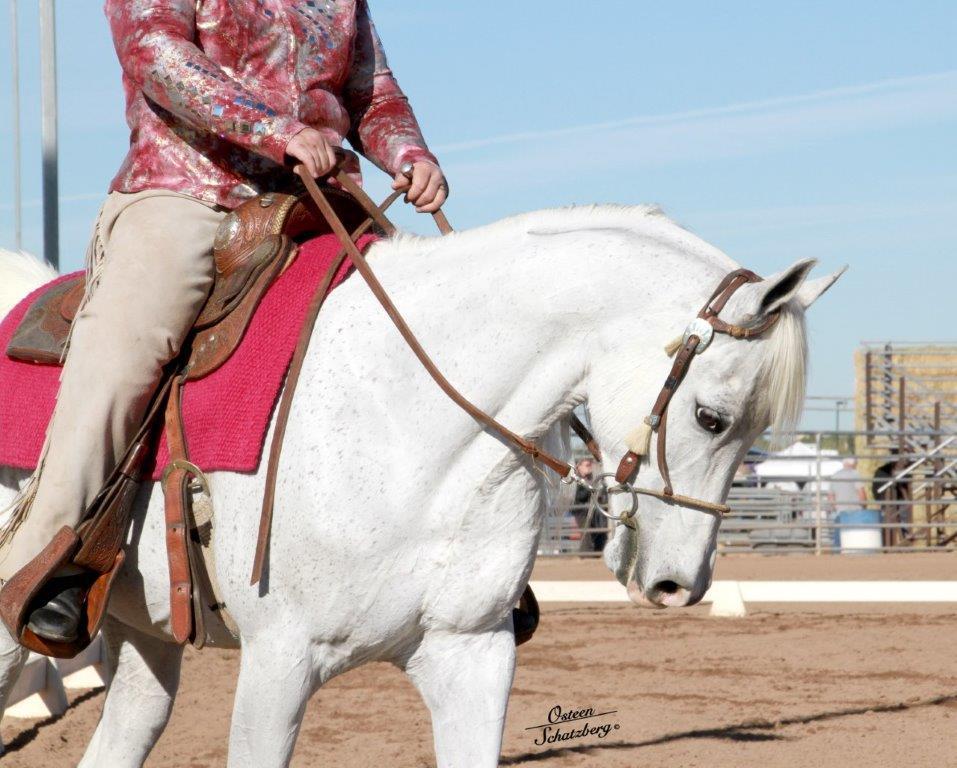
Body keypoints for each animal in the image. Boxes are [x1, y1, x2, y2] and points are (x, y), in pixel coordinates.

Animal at [0, 206, 842, 767]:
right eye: (709, 416)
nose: (679, 584)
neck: (406, 419)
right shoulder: (278, 665)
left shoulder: (468, 655)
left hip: (142, 639)